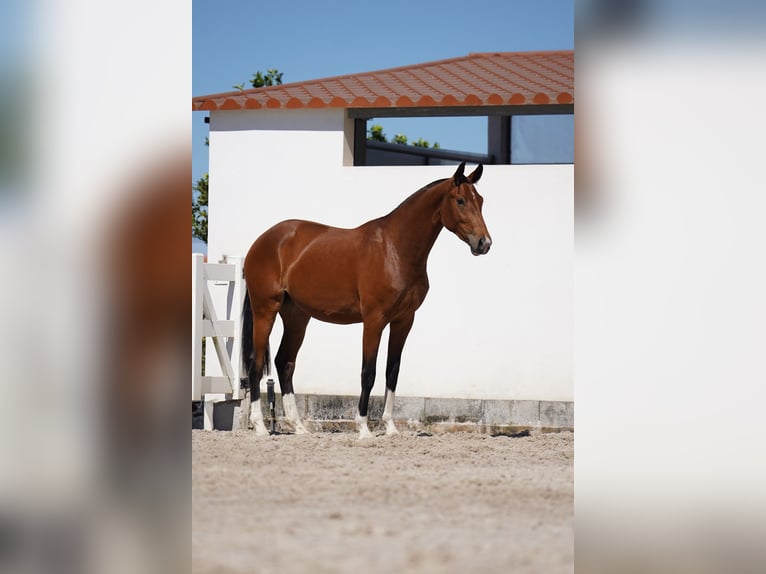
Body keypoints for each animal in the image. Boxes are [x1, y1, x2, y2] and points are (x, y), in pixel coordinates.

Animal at [240, 162, 492, 440]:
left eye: (480, 200)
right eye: (460, 200)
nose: (484, 243)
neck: (395, 249)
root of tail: (263, 241)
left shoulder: (404, 320)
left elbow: (392, 372)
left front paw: (390, 427)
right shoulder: (374, 320)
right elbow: (368, 372)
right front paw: (363, 428)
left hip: (297, 317)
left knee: (284, 363)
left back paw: (298, 427)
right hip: (265, 310)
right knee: (256, 363)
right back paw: (260, 427)